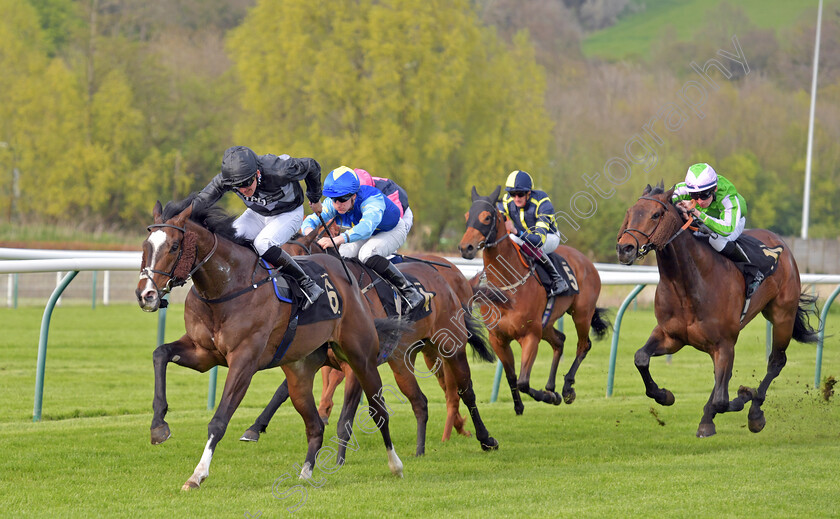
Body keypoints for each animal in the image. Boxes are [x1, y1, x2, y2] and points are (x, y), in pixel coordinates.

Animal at [136, 197, 408, 490]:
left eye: (174, 246)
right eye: (145, 246)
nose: (145, 294)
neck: (228, 286)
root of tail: (350, 280)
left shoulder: (244, 361)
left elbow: (219, 420)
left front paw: (197, 475)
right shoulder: (203, 353)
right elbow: (160, 353)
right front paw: (158, 426)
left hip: (360, 357)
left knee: (378, 410)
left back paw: (396, 465)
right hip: (300, 372)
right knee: (315, 425)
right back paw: (305, 474)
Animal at [240, 224, 496, 456]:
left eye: (294, 261)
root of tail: (443, 276)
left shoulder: (355, 364)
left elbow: (346, 415)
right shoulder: (314, 357)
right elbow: (282, 391)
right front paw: (254, 428)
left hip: (451, 346)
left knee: (465, 390)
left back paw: (485, 439)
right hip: (406, 357)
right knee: (422, 398)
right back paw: (424, 447)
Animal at [460, 186, 612, 414]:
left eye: (486, 217)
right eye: (467, 216)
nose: (465, 247)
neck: (508, 287)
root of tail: (586, 260)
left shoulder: (530, 336)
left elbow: (523, 381)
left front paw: (548, 397)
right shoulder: (498, 339)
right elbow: (512, 376)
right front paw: (519, 405)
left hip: (581, 314)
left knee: (583, 345)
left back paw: (566, 388)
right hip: (546, 323)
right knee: (560, 340)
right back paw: (551, 386)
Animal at [612, 185, 816, 436]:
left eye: (656, 215)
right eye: (630, 212)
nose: (625, 248)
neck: (688, 284)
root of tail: (781, 243)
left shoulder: (724, 343)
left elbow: (722, 399)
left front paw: (741, 398)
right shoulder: (671, 336)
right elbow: (641, 358)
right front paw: (665, 395)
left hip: (782, 316)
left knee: (776, 362)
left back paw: (755, 413)